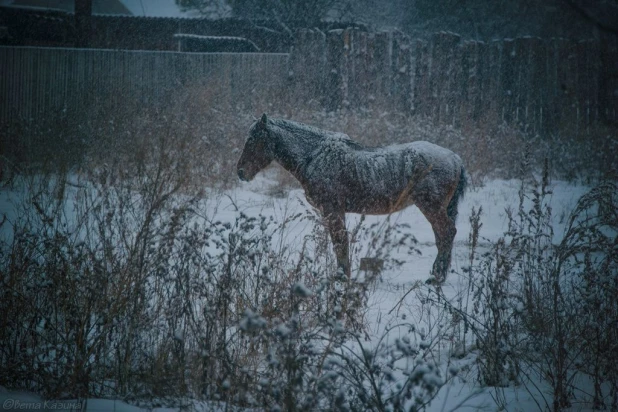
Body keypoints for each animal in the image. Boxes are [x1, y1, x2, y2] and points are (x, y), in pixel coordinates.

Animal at [233, 114, 464, 284]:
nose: (241, 172)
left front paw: (342, 277)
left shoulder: (332, 210)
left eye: (253, 140)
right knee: (442, 236)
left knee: (446, 233)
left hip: (431, 207)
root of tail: (455, 158)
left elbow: (340, 242)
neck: (313, 157)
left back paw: (436, 277)